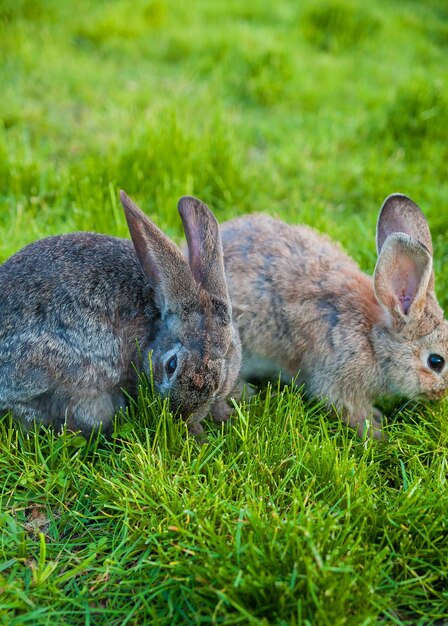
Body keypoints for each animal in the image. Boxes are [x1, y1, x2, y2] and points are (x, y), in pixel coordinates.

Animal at [220, 193, 448, 436]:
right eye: (436, 362)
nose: (443, 394)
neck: (373, 342)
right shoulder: (338, 381)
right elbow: (349, 411)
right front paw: (378, 434)